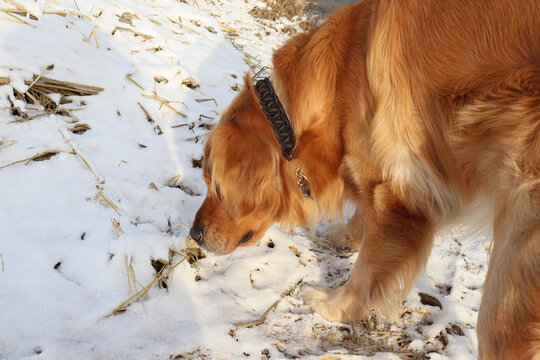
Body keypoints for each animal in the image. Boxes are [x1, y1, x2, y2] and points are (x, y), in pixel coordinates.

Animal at [191, 0, 540, 358]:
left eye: (215, 185)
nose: (194, 234)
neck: (339, 78)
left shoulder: (395, 197)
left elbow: (367, 269)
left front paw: (335, 306)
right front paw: (344, 235)